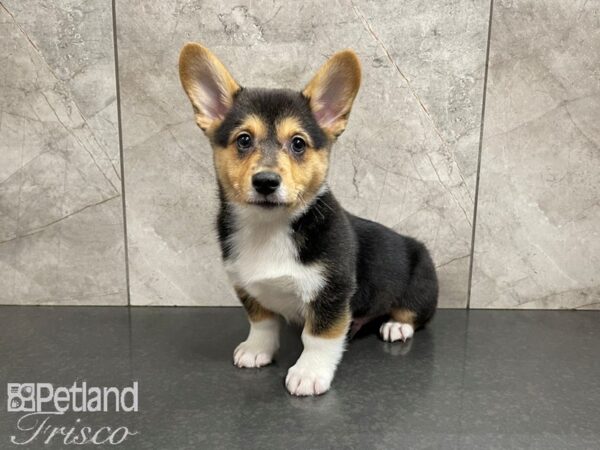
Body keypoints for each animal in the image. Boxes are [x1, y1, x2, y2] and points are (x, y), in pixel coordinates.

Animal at [178, 44, 436, 398]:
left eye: (298, 143)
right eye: (243, 140)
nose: (266, 182)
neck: (269, 227)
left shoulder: (332, 291)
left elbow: (318, 337)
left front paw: (309, 374)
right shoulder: (246, 287)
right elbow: (262, 322)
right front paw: (256, 350)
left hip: (420, 280)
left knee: (412, 312)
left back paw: (396, 325)